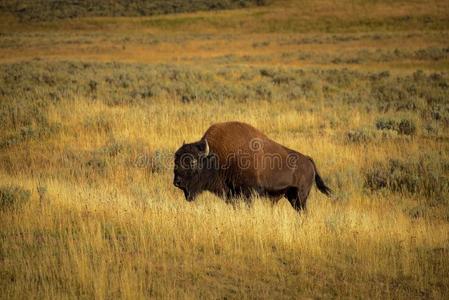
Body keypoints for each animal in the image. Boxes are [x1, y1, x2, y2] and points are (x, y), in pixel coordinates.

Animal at [173, 121, 330, 211]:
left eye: (193, 162)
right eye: (176, 160)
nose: (177, 182)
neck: (217, 156)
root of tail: (308, 160)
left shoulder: (249, 193)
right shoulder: (232, 196)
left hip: (300, 197)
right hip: (291, 196)